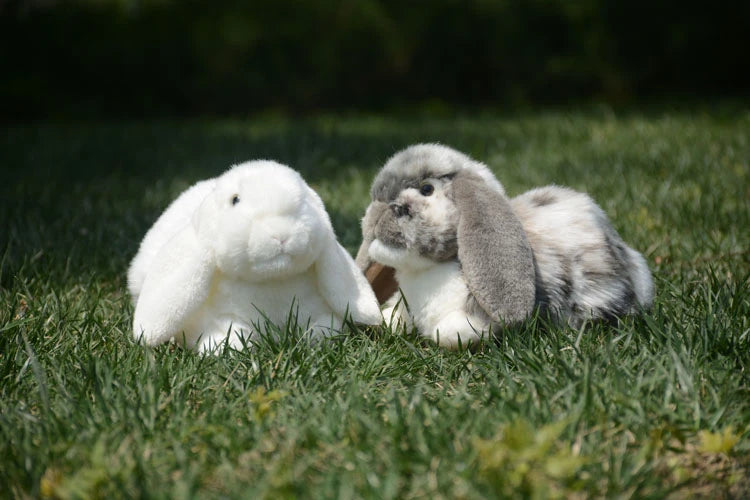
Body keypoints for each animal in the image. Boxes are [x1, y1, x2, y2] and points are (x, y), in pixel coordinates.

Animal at [128, 160, 381, 353]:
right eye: (235, 200)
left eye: (302, 202)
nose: (281, 234)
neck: (270, 280)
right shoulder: (223, 317)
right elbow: (232, 334)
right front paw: (223, 348)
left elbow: (324, 328)